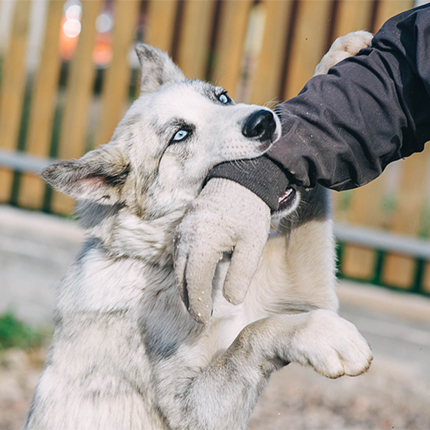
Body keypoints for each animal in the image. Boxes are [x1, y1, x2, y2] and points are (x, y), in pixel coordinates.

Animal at [24, 31, 372, 430]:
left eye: (222, 98)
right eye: (179, 135)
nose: (264, 121)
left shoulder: (306, 292)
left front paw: (334, 62)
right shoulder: (194, 411)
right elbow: (250, 337)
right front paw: (327, 338)